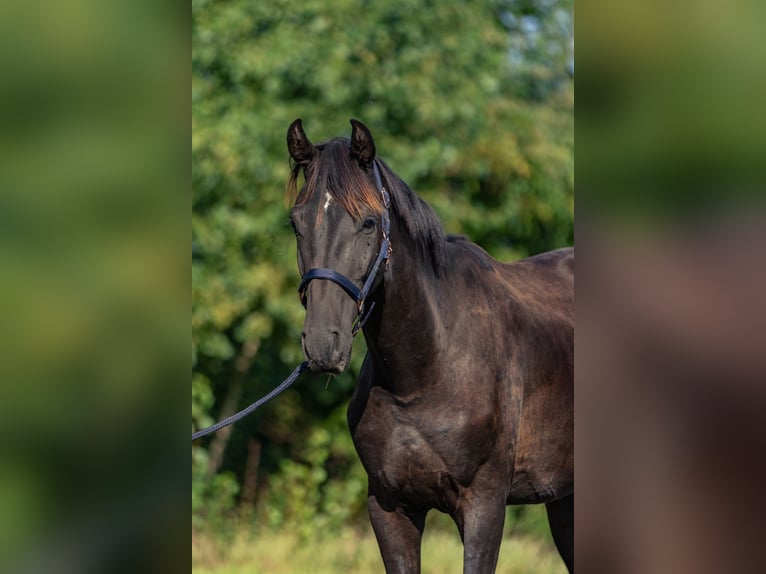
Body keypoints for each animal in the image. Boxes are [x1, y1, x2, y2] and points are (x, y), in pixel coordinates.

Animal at [284, 119, 572, 572]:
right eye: (296, 222)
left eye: (369, 223)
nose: (321, 343)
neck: (426, 371)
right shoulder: (389, 507)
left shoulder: (485, 507)